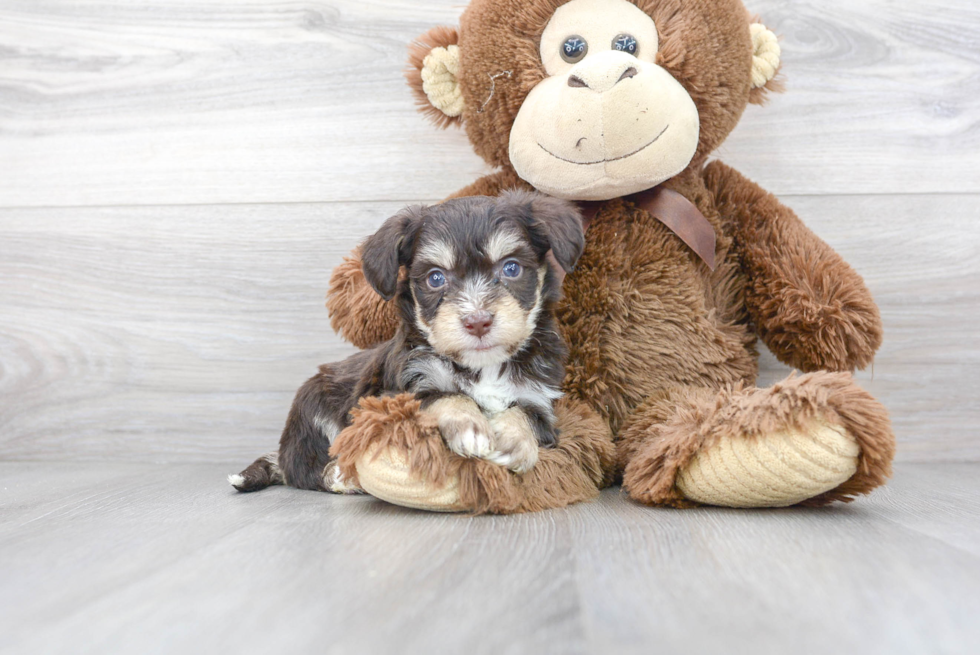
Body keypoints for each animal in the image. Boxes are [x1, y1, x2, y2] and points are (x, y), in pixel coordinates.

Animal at [229, 192, 580, 494]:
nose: (477, 321)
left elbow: (525, 415)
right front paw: (470, 427)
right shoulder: (396, 394)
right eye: (435, 278)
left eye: (511, 268)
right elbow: (444, 396)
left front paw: (512, 442)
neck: (481, 366)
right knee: (308, 470)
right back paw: (343, 477)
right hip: (312, 410)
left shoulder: (539, 400)